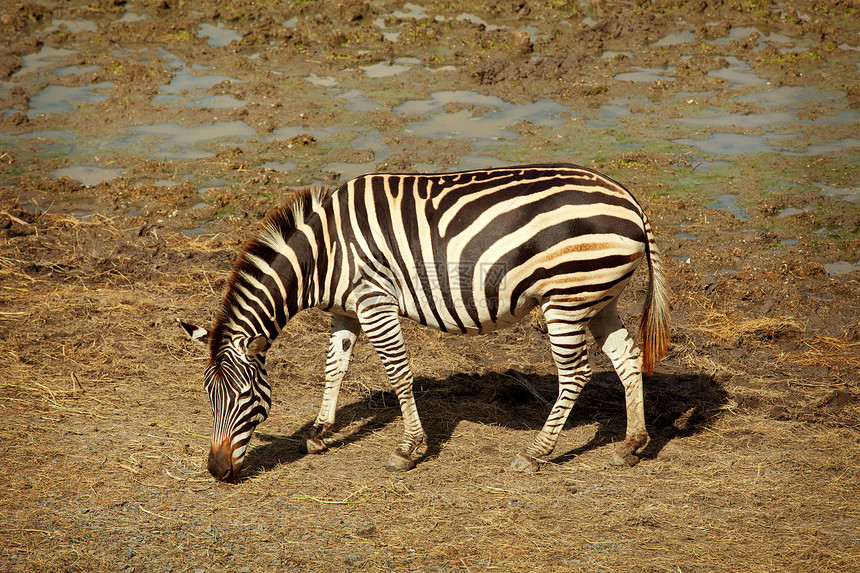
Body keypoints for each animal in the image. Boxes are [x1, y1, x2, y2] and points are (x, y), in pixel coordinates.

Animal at [178, 162, 668, 482]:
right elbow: (335, 368)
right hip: (597, 296)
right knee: (627, 358)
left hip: (565, 297)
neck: (321, 255)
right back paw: (631, 445)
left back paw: (534, 453)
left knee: (575, 373)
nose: (217, 470)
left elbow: (398, 373)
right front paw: (319, 432)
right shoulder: (345, 309)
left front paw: (409, 448)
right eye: (208, 396)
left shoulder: (374, 300)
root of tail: (630, 200)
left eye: (244, 397)